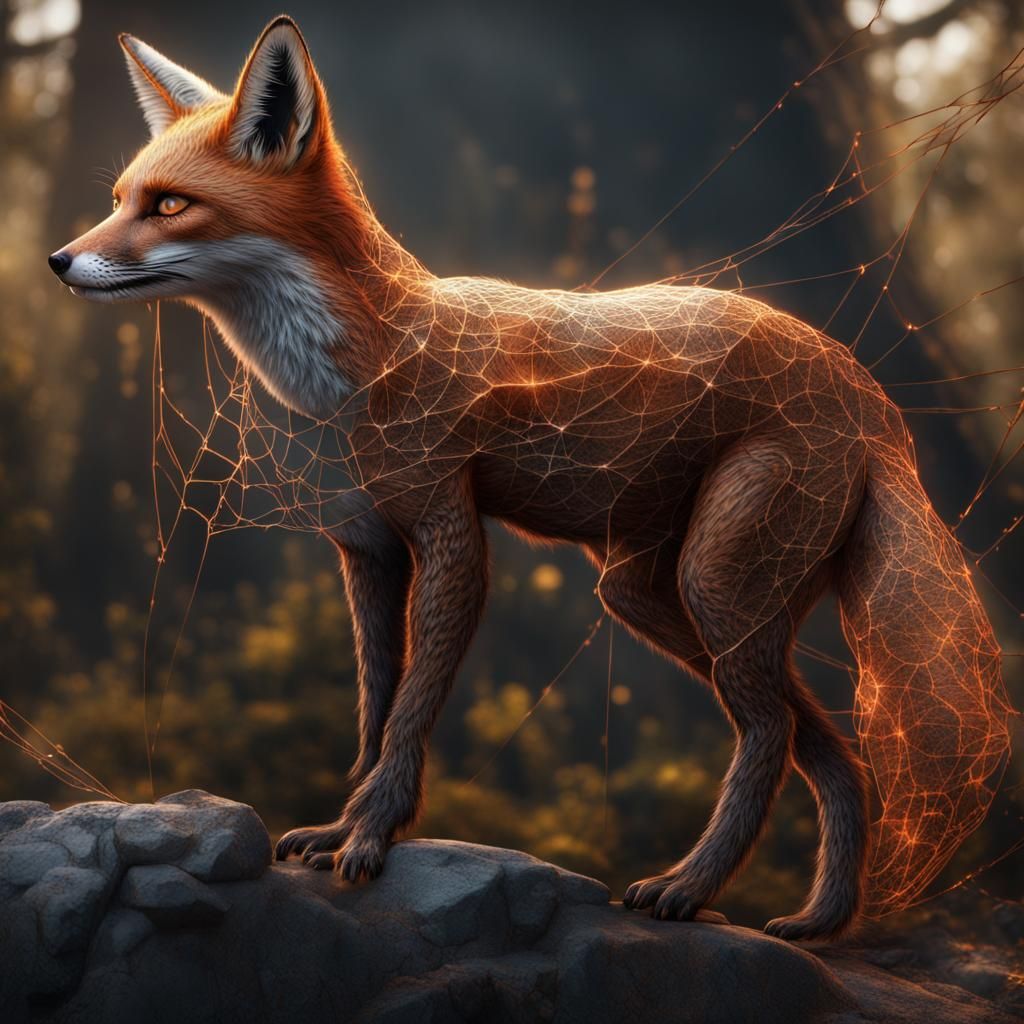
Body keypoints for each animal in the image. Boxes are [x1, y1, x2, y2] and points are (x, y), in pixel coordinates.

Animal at [50, 16, 1010, 941]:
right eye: (119, 201)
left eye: (171, 205)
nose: (59, 260)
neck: (364, 364)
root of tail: (865, 389)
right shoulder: (367, 549)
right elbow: (374, 706)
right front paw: (340, 826)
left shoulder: (449, 537)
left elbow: (411, 712)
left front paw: (370, 838)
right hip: (649, 595)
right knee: (837, 754)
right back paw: (823, 920)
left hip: (713, 586)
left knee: (771, 735)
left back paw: (692, 889)